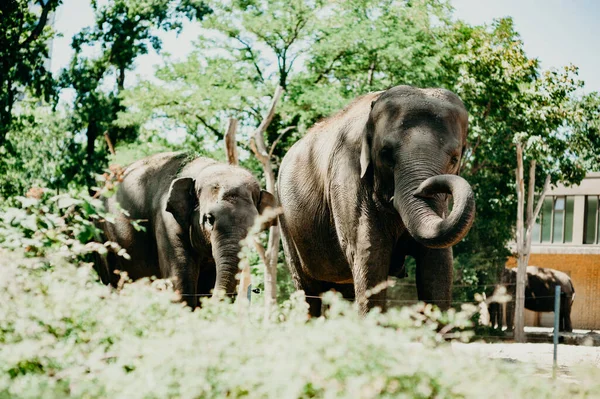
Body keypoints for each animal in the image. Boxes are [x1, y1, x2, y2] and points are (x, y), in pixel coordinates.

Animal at [278, 86, 478, 318]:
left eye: (454, 159)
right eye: (385, 154)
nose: (424, 188)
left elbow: (437, 265)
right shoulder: (347, 176)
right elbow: (371, 257)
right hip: (287, 224)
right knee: (308, 290)